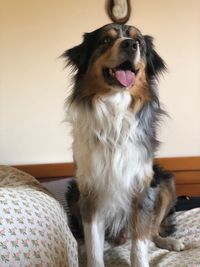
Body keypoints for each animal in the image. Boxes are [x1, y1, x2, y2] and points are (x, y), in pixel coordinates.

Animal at [63, 23, 184, 267]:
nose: (130, 44)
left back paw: (169, 241)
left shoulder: (141, 188)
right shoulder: (90, 192)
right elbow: (94, 245)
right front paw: (90, 254)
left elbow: (140, 244)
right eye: (106, 40)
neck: (114, 107)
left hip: (164, 181)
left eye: (139, 42)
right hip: (73, 192)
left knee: (153, 230)